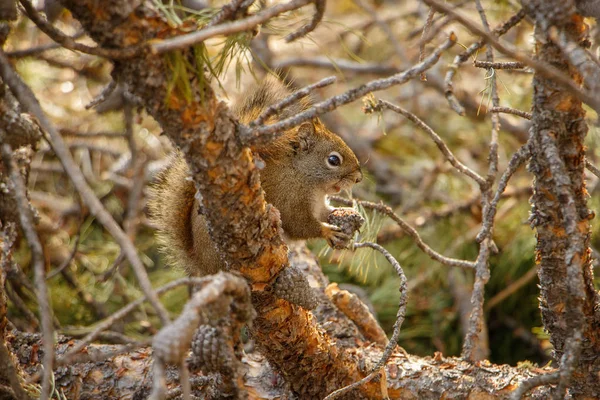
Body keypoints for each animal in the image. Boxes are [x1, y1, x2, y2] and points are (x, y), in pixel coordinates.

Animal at [150, 78, 364, 278]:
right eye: (333, 160)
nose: (359, 178)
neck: (306, 178)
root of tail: (204, 268)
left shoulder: (318, 205)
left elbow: (324, 213)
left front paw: (344, 211)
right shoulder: (290, 198)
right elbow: (300, 225)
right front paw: (328, 231)